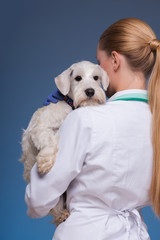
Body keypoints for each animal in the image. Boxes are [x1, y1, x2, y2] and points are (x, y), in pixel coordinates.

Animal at [20, 61, 109, 226]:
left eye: (96, 77)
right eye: (78, 78)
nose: (90, 91)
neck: (71, 106)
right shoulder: (41, 127)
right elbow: (49, 140)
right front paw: (45, 163)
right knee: (54, 208)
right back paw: (62, 215)